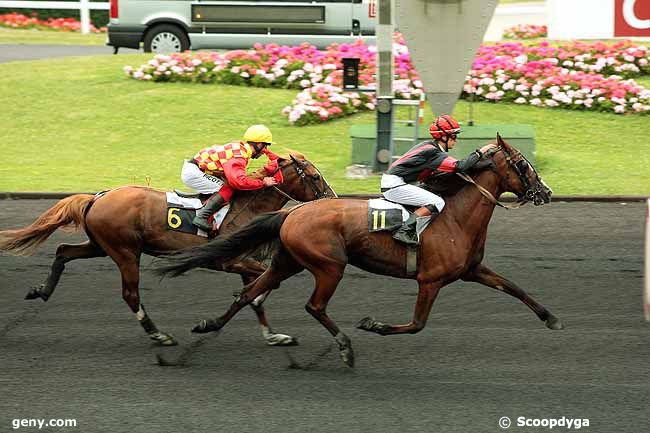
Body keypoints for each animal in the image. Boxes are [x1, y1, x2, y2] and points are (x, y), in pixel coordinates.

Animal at [0, 154, 332, 346]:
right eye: (315, 177)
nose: (331, 199)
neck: (246, 208)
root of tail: (98, 196)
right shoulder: (230, 261)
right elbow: (260, 287)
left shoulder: (244, 261)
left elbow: (255, 295)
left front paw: (274, 335)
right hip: (125, 252)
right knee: (130, 294)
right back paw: (158, 334)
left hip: (100, 245)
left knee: (62, 251)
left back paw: (41, 290)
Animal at [154, 135, 560, 364]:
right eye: (522, 164)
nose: (546, 192)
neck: (454, 217)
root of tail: (292, 212)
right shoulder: (430, 280)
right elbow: (416, 324)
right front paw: (373, 324)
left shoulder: (473, 270)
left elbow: (515, 287)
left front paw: (551, 318)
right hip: (329, 266)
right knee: (313, 306)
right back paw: (345, 346)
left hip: (288, 262)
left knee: (247, 293)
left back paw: (207, 326)